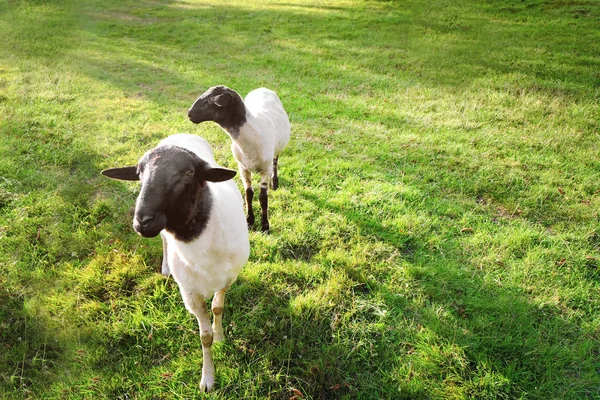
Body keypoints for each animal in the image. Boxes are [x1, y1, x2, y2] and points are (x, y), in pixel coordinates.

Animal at [101, 133, 248, 392]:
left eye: (189, 172)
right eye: (139, 172)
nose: (142, 221)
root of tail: (181, 134)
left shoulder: (228, 278)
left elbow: (217, 308)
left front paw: (220, 336)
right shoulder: (189, 292)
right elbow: (204, 337)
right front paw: (208, 378)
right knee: (163, 239)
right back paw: (165, 267)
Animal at [188, 86, 290, 233]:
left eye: (209, 101)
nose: (189, 114)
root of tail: (262, 88)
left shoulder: (265, 169)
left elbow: (263, 198)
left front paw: (265, 226)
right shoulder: (243, 168)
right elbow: (249, 194)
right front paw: (249, 221)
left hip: (276, 152)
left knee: (275, 162)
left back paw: (274, 182)